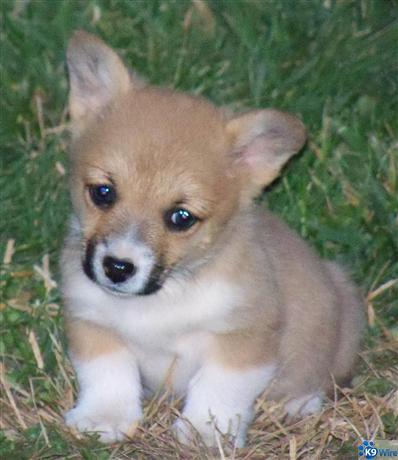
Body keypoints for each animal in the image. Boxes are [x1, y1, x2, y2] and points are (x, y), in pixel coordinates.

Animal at [61, 31, 364, 446]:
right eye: (103, 193)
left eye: (181, 217)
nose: (118, 268)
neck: (162, 298)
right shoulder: (91, 321)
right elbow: (108, 374)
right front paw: (103, 418)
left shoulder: (244, 338)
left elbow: (219, 389)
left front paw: (205, 432)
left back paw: (297, 404)